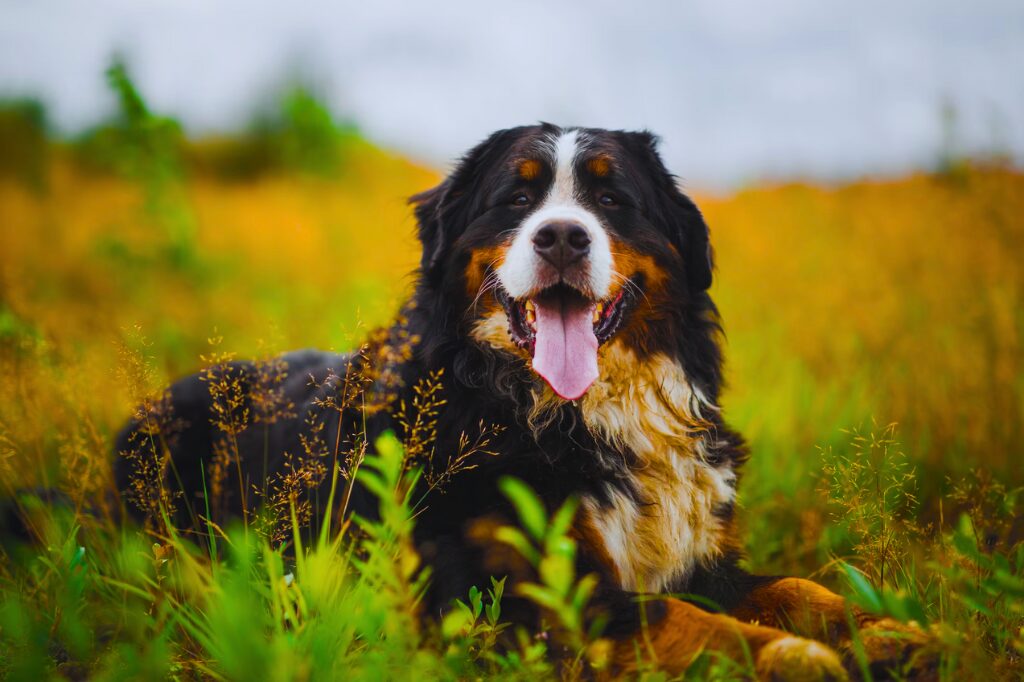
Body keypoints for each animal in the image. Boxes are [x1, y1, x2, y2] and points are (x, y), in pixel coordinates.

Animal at [116, 124, 933, 675]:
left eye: (611, 197)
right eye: (516, 196)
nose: (564, 236)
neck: (570, 413)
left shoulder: (701, 557)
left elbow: (798, 585)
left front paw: (891, 632)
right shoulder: (508, 598)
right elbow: (678, 618)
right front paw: (792, 656)